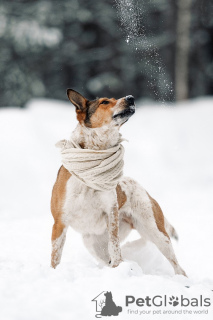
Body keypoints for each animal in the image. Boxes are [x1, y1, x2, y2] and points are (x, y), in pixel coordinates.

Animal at [50, 89, 186, 276]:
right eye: (105, 102)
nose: (131, 98)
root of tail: (142, 188)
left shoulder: (111, 214)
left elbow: (114, 247)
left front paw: (118, 268)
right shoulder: (59, 222)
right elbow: (55, 256)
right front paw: (53, 273)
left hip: (156, 232)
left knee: (178, 266)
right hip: (93, 243)